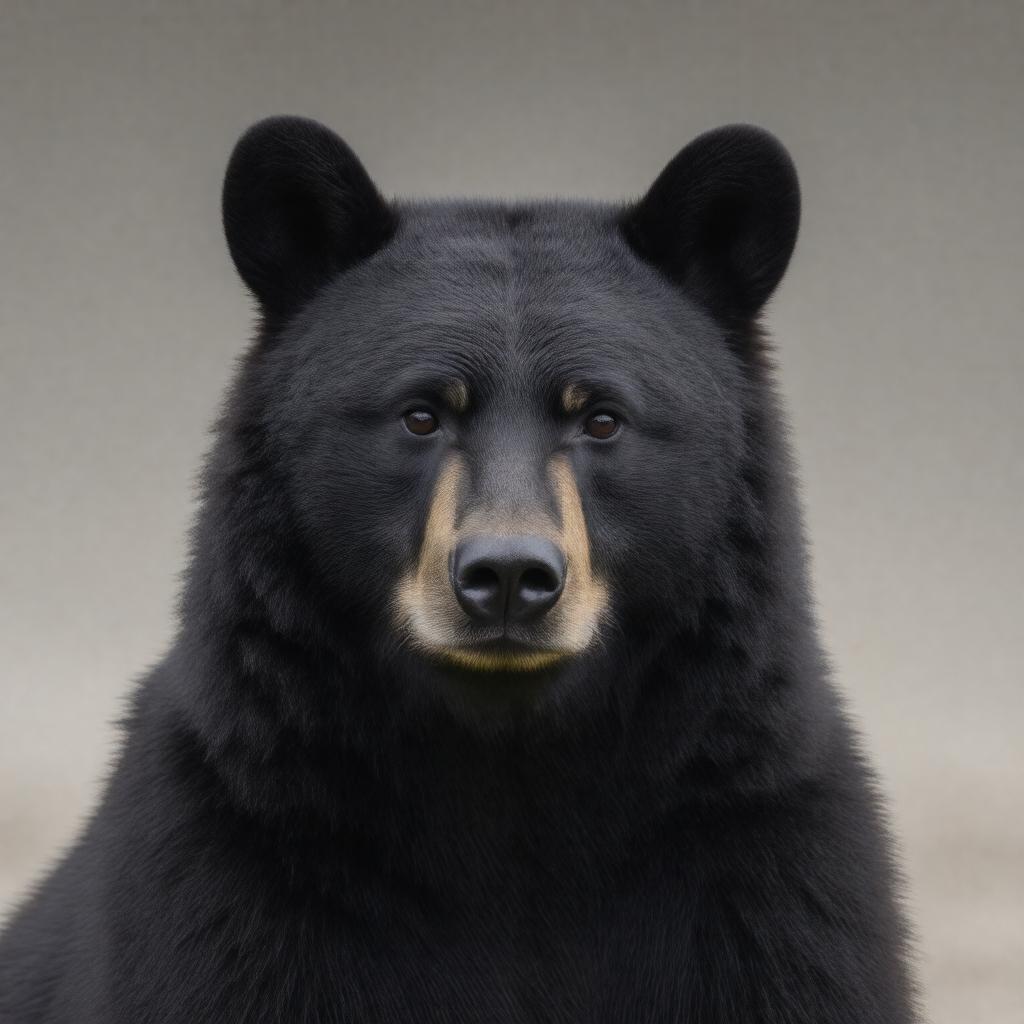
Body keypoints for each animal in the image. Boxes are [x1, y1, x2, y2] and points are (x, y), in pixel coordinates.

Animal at [0, 116, 916, 1023]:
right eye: (420, 415)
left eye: (602, 419)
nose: (508, 576)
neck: (504, 761)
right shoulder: (232, 865)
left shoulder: (764, 874)